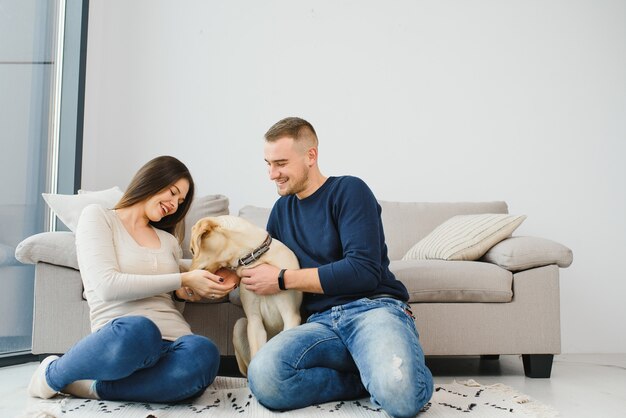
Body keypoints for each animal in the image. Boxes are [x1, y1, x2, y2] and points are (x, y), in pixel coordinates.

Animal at [188, 216, 300, 376]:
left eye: (192, 250)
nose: (187, 275)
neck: (256, 259)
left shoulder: (291, 315)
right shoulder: (254, 321)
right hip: (240, 325)